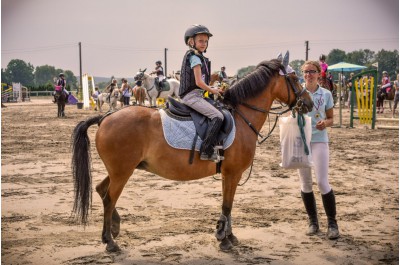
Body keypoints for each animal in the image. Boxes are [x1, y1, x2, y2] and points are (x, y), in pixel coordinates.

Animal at [72, 59, 314, 252]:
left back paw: (114, 227)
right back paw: (110, 241)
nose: (309, 103)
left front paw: (230, 236)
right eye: (294, 78)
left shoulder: (228, 174)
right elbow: (227, 205)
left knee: (101, 190)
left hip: (119, 170)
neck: (241, 117)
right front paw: (223, 238)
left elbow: (229, 205)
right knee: (109, 198)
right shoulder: (232, 173)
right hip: (122, 172)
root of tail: (105, 117)